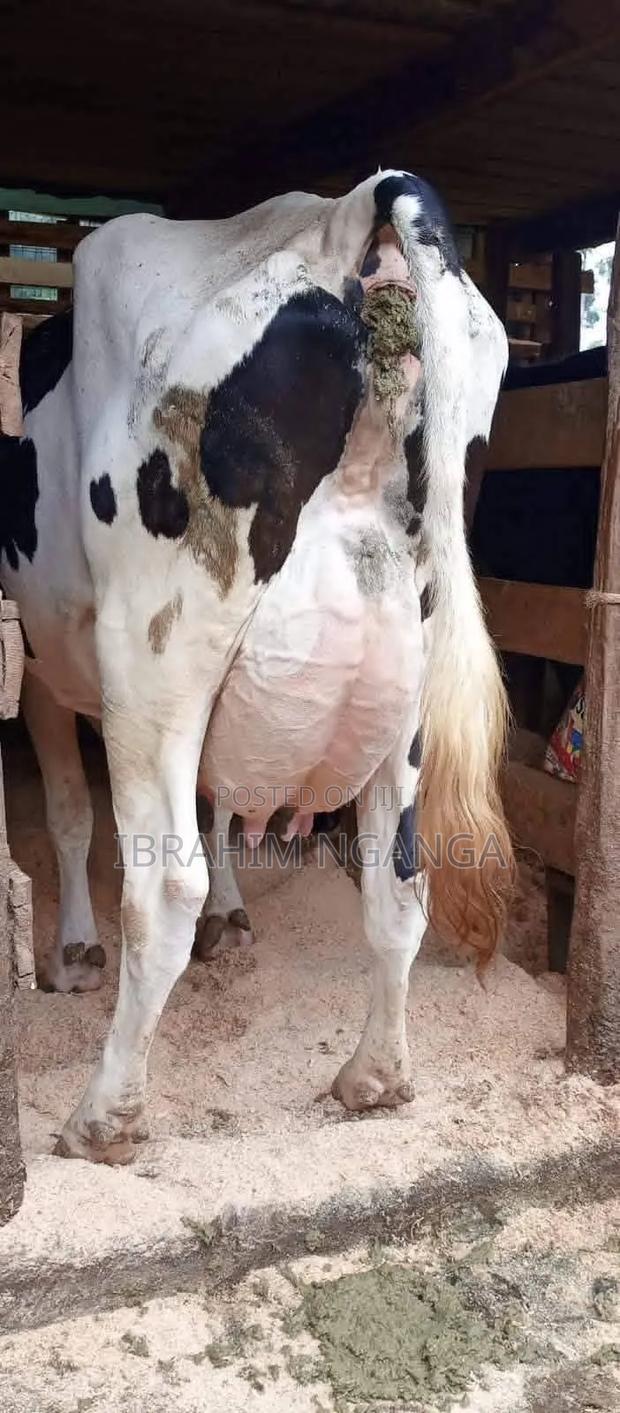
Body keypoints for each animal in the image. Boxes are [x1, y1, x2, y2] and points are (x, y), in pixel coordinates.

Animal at [0, 170, 512, 1164]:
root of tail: (352, 208)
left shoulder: (42, 667)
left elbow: (74, 812)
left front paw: (74, 952)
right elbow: (226, 803)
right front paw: (233, 923)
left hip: (159, 653)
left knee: (165, 883)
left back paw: (103, 1119)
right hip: (410, 678)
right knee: (401, 883)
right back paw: (375, 1078)